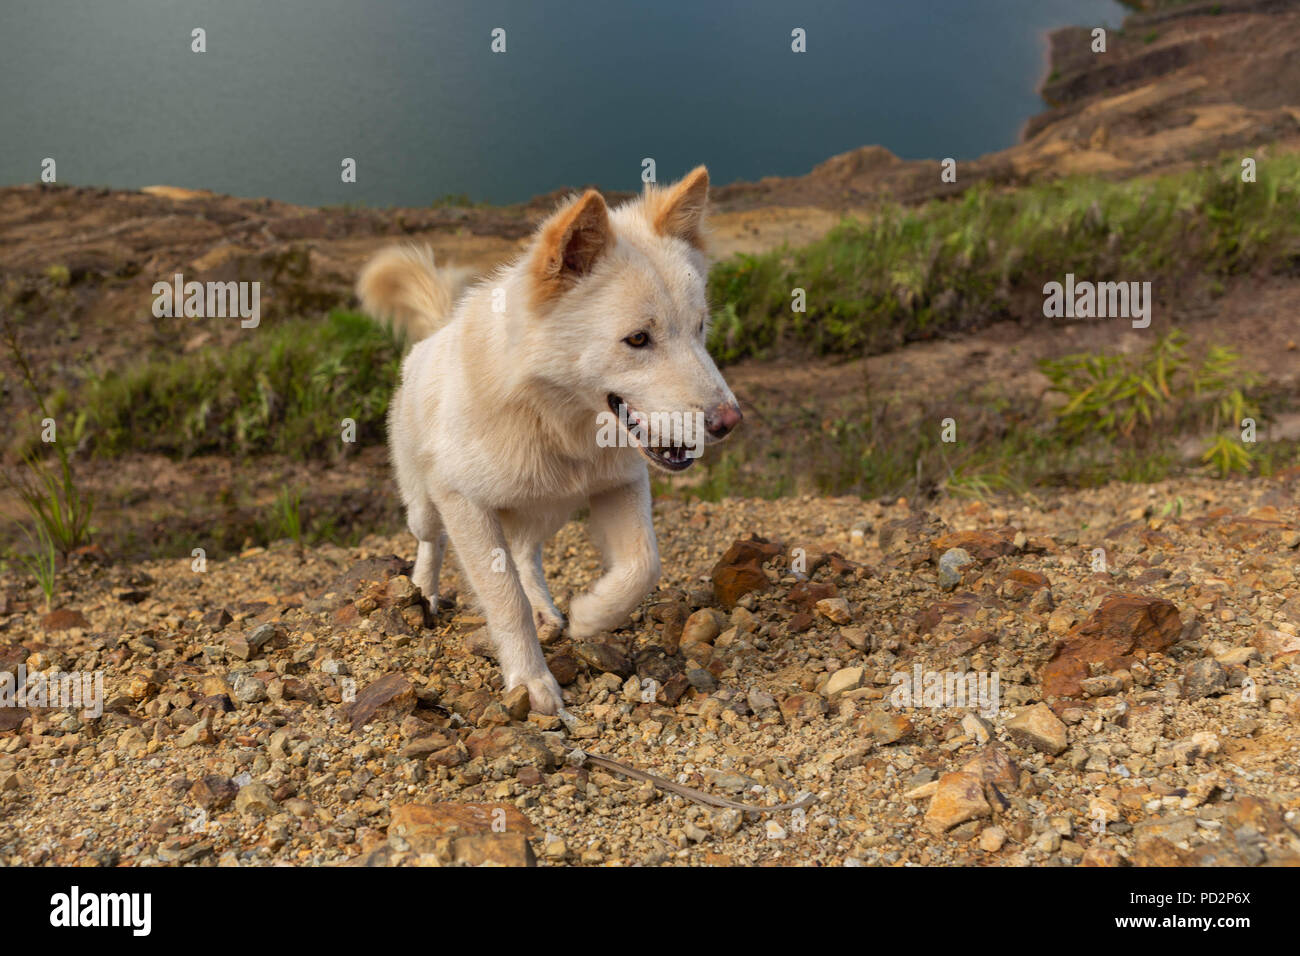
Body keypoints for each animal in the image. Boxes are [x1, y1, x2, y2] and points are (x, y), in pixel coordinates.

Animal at [358, 167, 743, 712]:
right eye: (638, 339)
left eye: (700, 327)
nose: (729, 421)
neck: (554, 420)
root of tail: (434, 334)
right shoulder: (465, 505)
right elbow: (504, 599)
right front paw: (531, 680)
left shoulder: (620, 485)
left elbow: (643, 565)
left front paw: (590, 615)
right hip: (427, 506)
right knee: (431, 542)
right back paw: (423, 592)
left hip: (546, 510)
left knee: (526, 556)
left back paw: (548, 610)